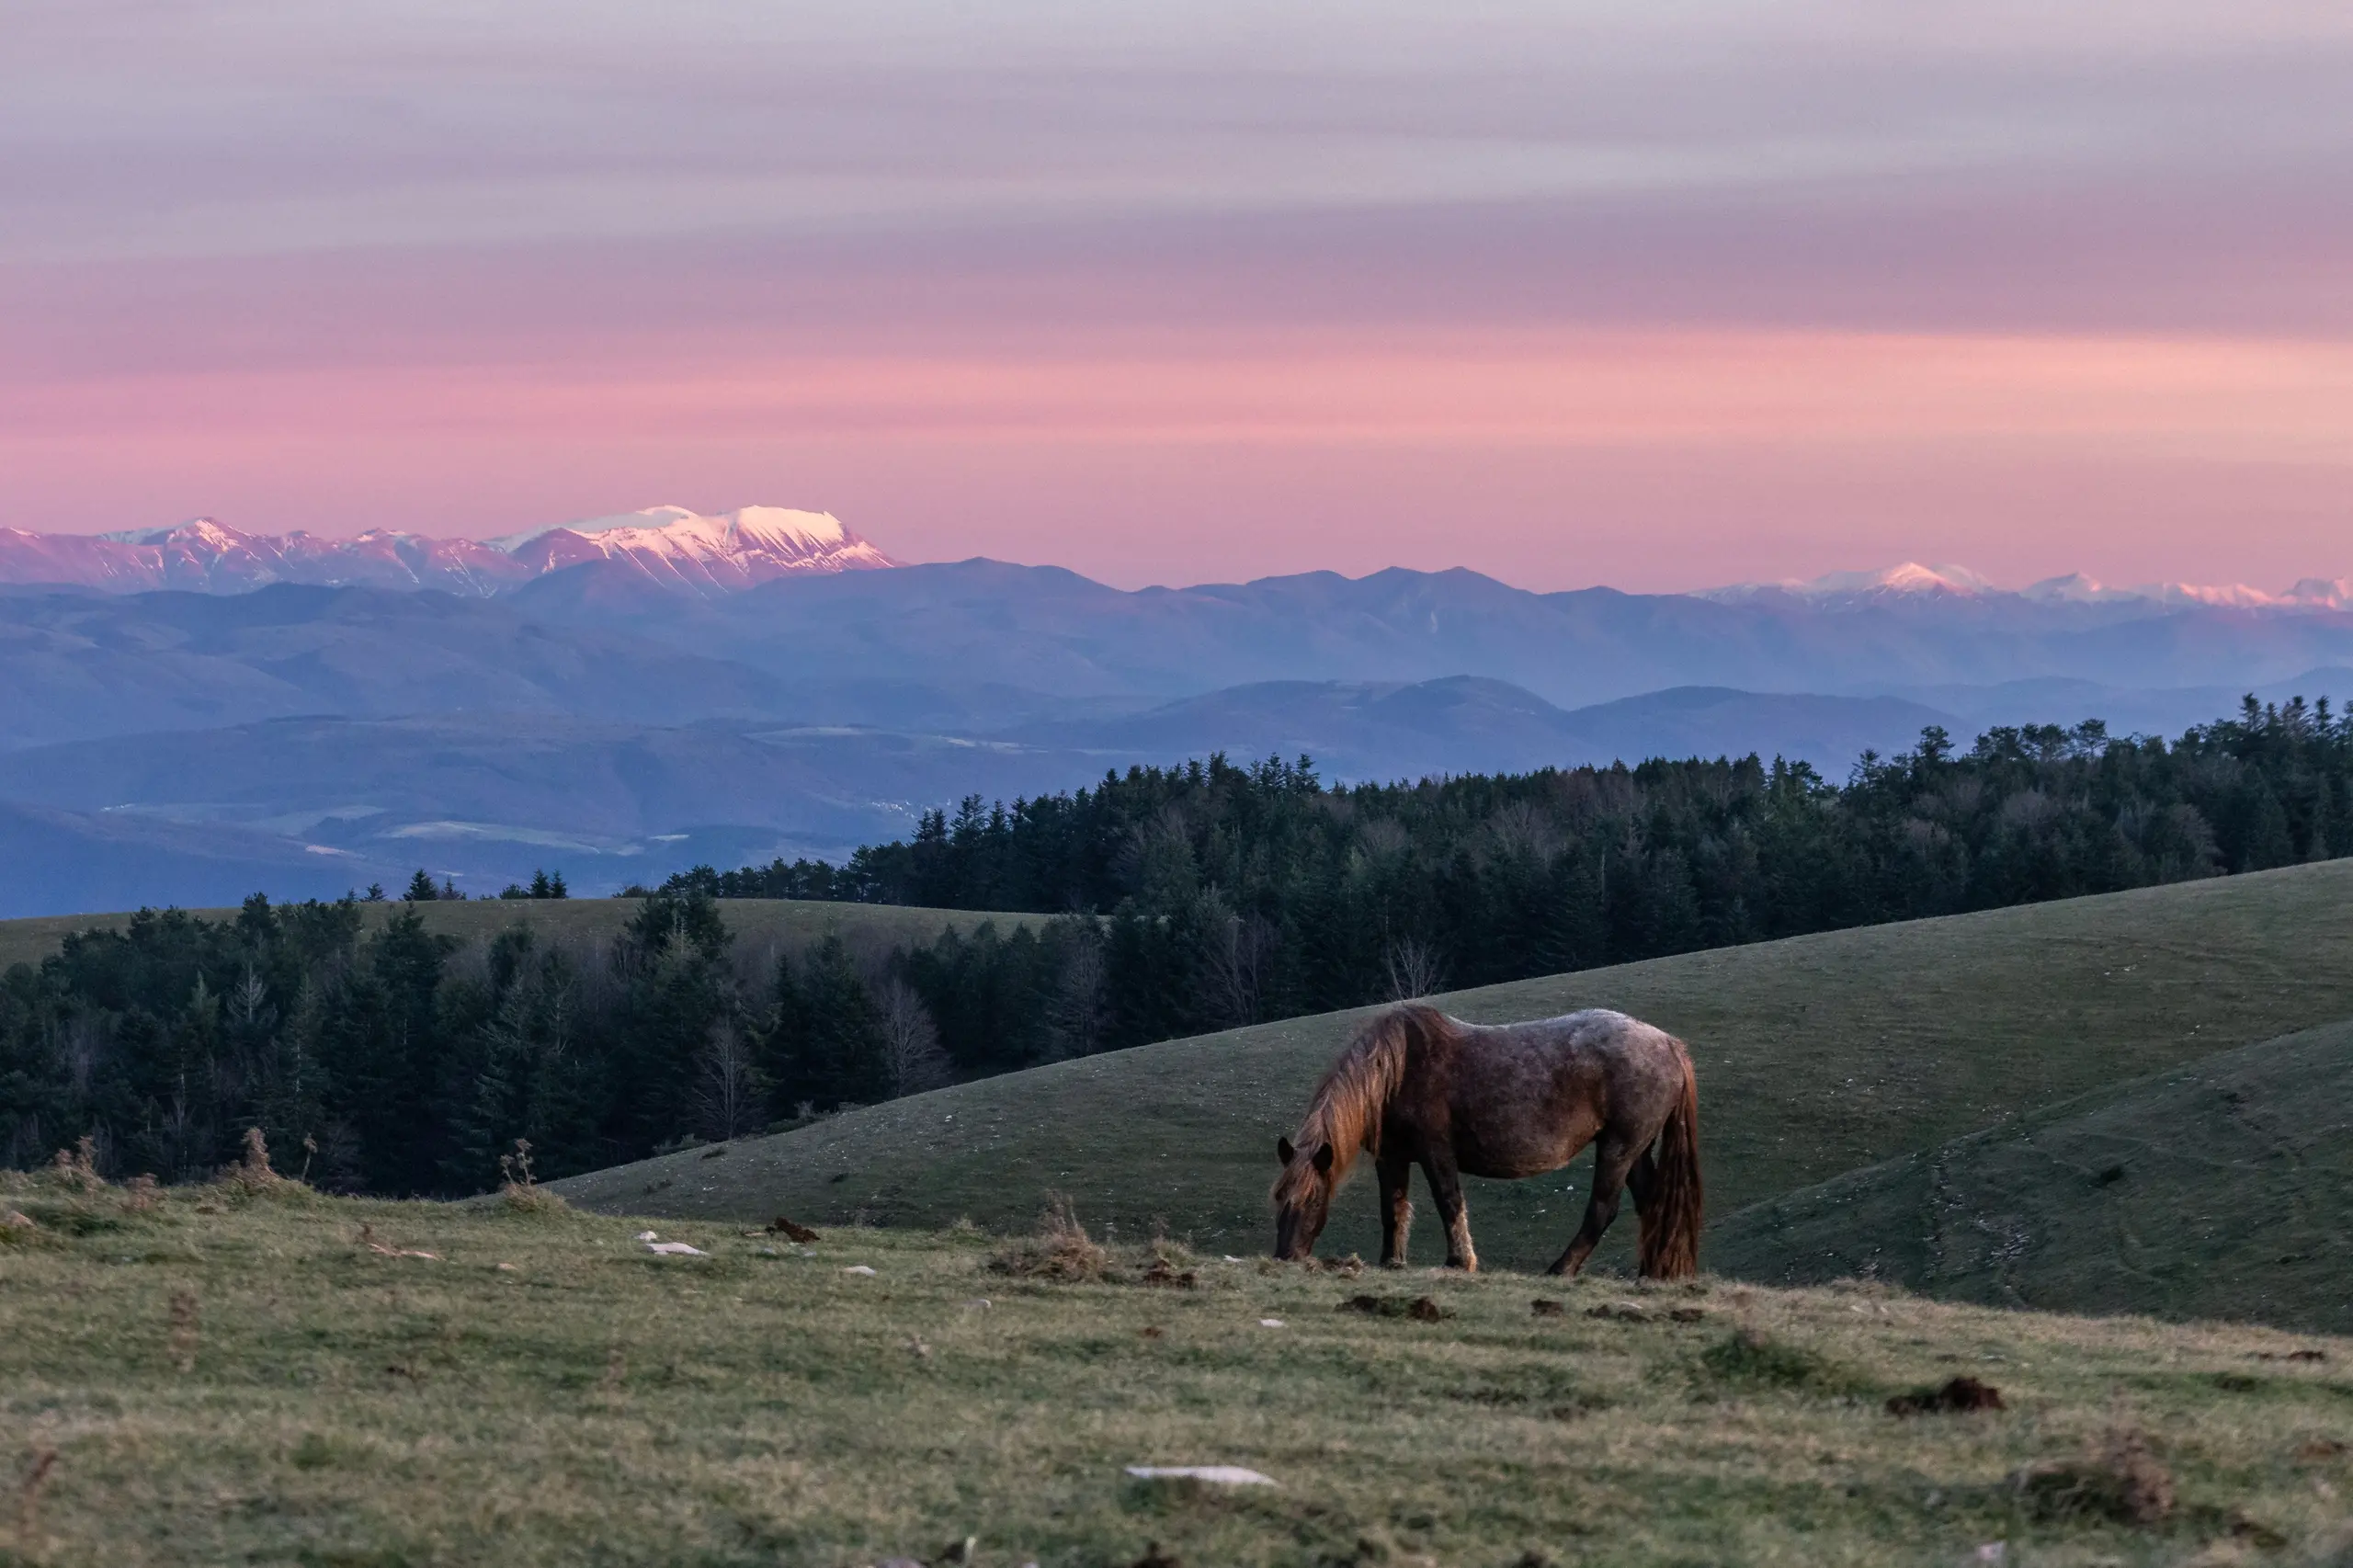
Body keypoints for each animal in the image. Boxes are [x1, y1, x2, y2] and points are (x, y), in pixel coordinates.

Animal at [1279, 1003, 1703, 1271]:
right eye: (1280, 1199)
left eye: (1312, 1198)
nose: (1286, 1256)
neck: (1396, 1073)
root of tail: (1670, 1045)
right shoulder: (1392, 1157)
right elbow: (1393, 1210)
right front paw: (1392, 1263)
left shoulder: (1436, 1151)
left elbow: (1449, 1202)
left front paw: (1459, 1262)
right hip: (1635, 1150)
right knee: (1650, 1205)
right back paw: (1650, 1274)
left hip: (1619, 1148)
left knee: (1602, 1210)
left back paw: (1560, 1270)